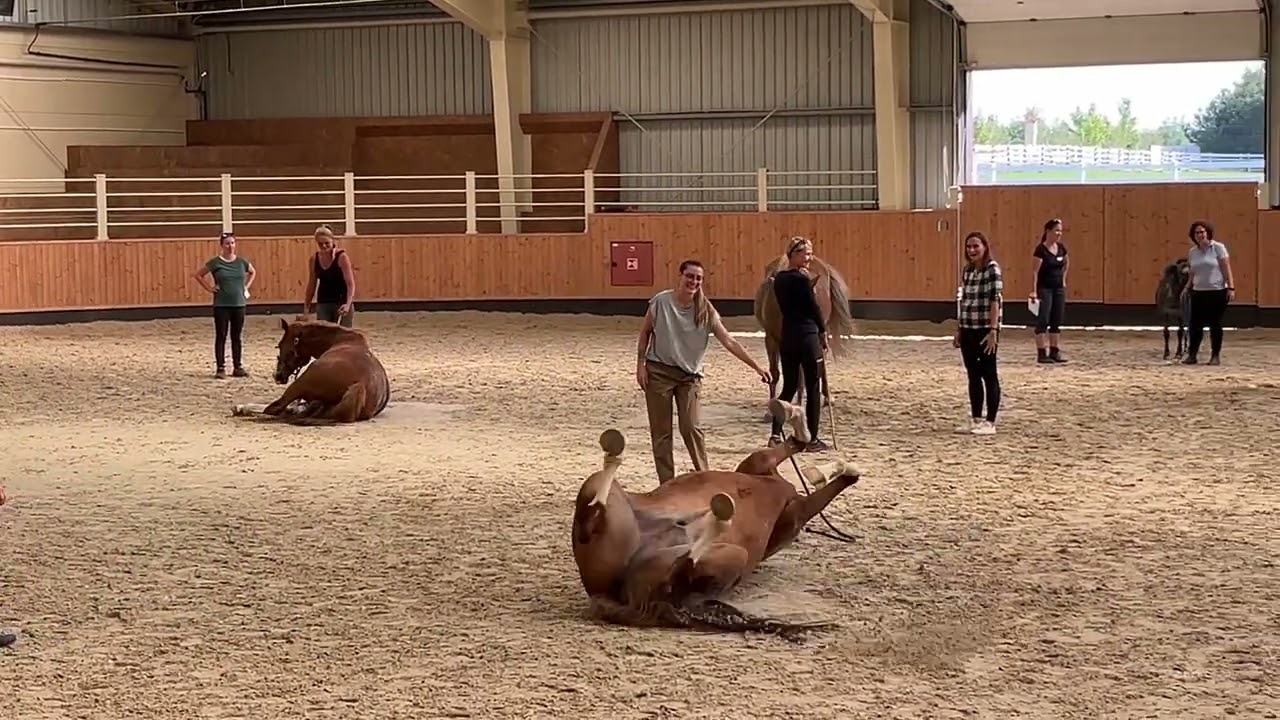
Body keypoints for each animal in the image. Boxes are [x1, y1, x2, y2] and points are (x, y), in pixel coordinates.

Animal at [232, 317, 391, 425]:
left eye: (280, 345)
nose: (278, 376)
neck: (341, 340)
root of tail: (360, 385)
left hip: (299, 384)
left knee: (275, 408)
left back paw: (240, 409)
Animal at [571, 398, 862, 641]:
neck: (776, 485)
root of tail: (613, 597)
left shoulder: (792, 509)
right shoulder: (772, 481)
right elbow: (792, 446)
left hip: (729, 556)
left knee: (680, 574)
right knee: (596, 509)